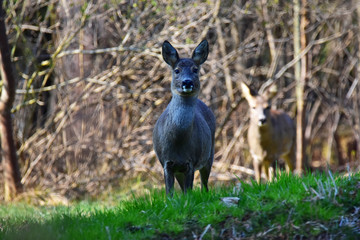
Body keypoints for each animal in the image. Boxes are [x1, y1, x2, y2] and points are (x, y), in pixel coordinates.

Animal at [153, 40, 215, 196]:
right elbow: (169, 193)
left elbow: (189, 191)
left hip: (209, 154)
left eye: (195, 69)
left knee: (204, 184)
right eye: (177, 70)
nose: (187, 82)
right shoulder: (166, 162)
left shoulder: (191, 161)